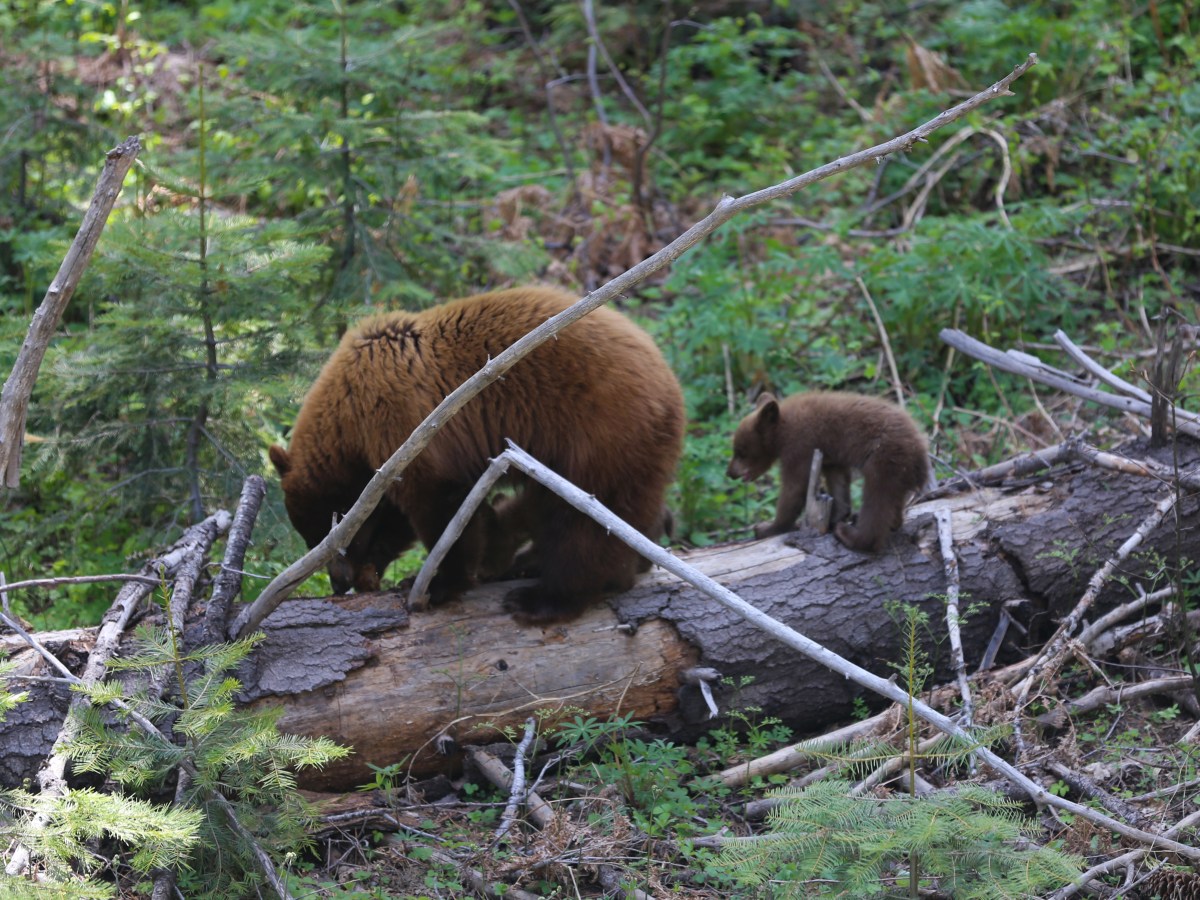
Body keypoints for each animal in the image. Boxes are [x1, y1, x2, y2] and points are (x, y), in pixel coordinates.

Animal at [268, 285, 685, 623]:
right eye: (313, 540)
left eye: (335, 537)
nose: (339, 584)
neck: (349, 413)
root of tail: (673, 388)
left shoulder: (405, 424)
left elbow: (440, 506)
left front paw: (435, 583)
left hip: (599, 433)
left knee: (586, 521)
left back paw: (545, 597)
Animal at [726, 391, 929, 553]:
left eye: (740, 452)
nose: (730, 473)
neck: (782, 427)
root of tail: (921, 452)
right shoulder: (831, 458)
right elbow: (838, 482)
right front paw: (837, 516)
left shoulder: (800, 445)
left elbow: (795, 487)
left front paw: (767, 528)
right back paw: (889, 523)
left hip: (885, 459)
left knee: (878, 498)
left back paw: (851, 536)